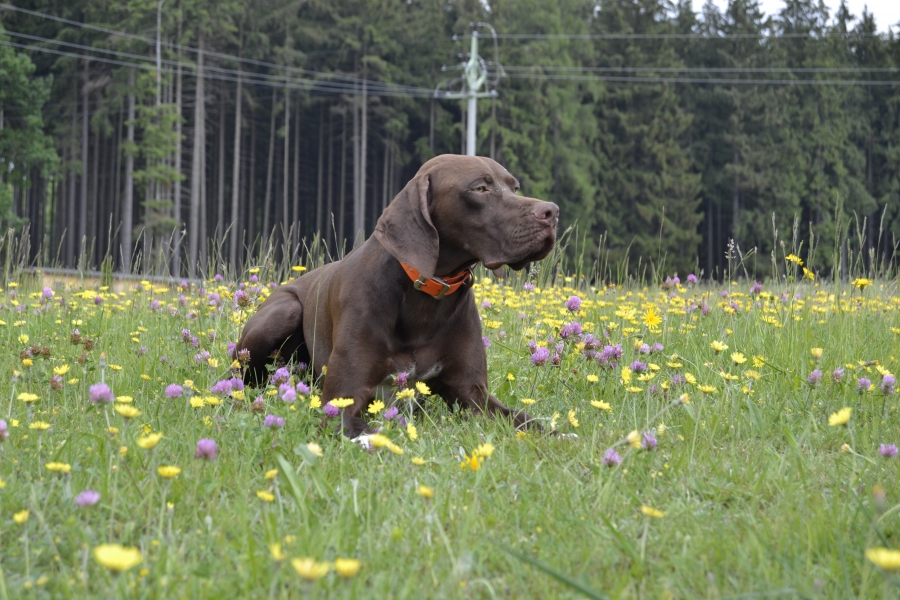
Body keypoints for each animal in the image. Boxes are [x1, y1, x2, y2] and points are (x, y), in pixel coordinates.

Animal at [236, 154, 559, 440]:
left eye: (514, 188)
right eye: (480, 188)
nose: (552, 212)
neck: (426, 298)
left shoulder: (472, 393)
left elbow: (529, 422)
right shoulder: (341, 399)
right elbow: (368, 433)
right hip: (284, 313)